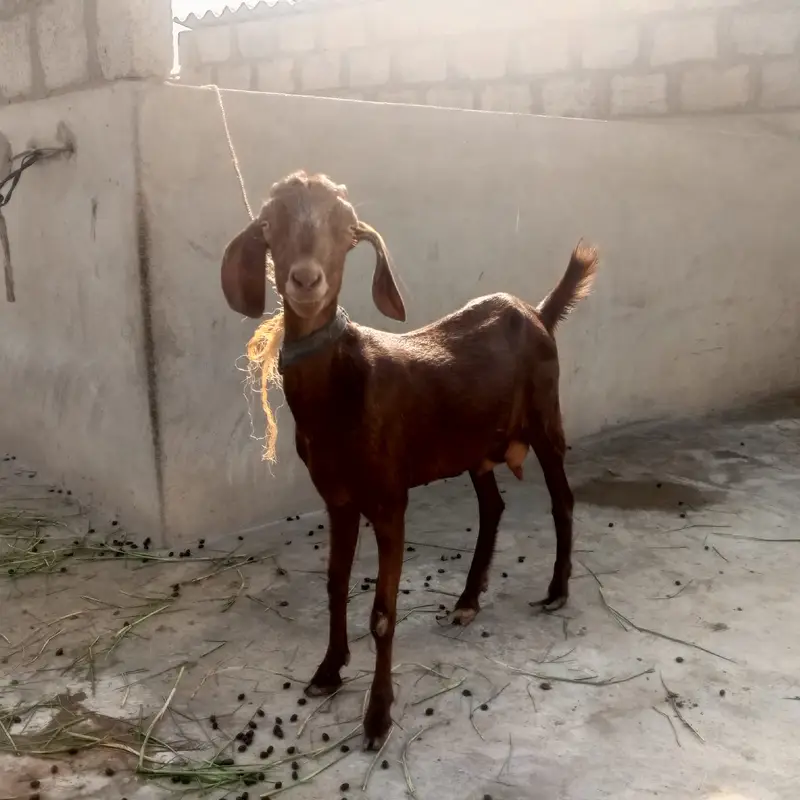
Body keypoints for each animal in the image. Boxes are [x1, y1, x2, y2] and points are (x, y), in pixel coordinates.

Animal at [220, 171, 598, 749]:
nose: (305, 280)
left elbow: (382, 612)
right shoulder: (337, 497)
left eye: (345, 229)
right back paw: (467, 601)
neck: (341, 390)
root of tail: (537, 312)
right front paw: (328, 670)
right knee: (493, 507)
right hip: (475, 448)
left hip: (544, 418)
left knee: (563, 499)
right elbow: (334, 585)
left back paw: (556, 591)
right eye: (269, 223)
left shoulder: (388, 499)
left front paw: (377, 718)